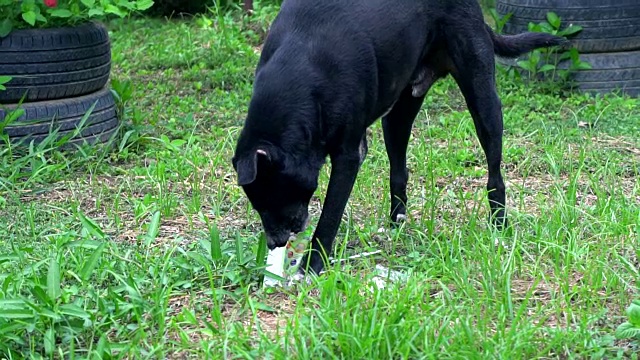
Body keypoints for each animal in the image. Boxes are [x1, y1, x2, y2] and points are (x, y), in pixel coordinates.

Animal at [231, 0, 564, 274]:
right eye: (256, 204)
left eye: (275, 195)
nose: (275, 243)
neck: (303, 60)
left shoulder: (349, 154)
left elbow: (330, 215)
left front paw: (312, 265)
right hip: (397, 117)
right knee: (399, 171)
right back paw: (396, 224)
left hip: (483, 98)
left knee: (494, 171)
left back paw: (498, 223)